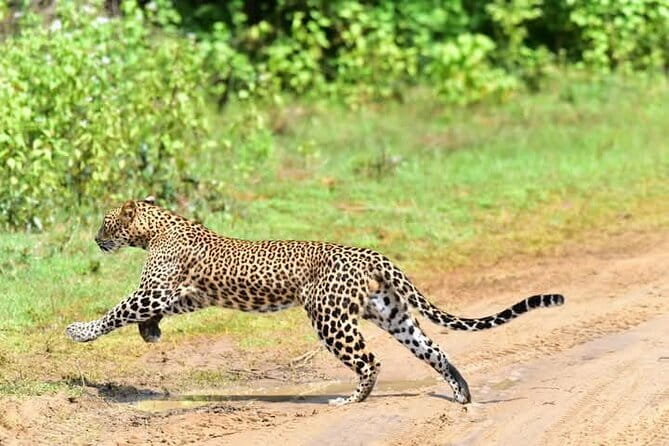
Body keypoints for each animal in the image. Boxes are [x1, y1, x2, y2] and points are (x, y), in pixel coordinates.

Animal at [66, 198, 565, 405]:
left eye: (106, 222)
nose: (94, 239)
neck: (156, 227)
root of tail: (371, 253)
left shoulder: (155, 288)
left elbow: (117, 311)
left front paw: (78, 331)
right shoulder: (188, 293)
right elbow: (155, 311)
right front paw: (150, 331)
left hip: (330, 317)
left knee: (370, 361)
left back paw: (350, 401)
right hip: (390, 312)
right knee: (434, 349)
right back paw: (462, 394)